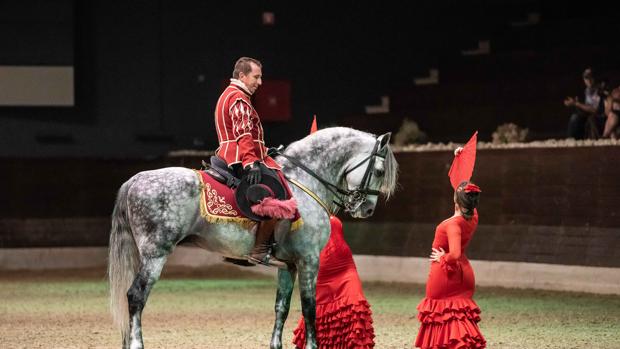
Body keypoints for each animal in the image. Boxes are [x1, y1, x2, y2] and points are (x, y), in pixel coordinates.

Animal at [108, 126, 398, 346]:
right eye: (379, 171)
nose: (367, 209)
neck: (305, 181)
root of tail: (136, 179)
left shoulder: (288, 265)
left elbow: (281, 308)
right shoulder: (309, 260)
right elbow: (309, 307)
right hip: (155, 254)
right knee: (136, 296)